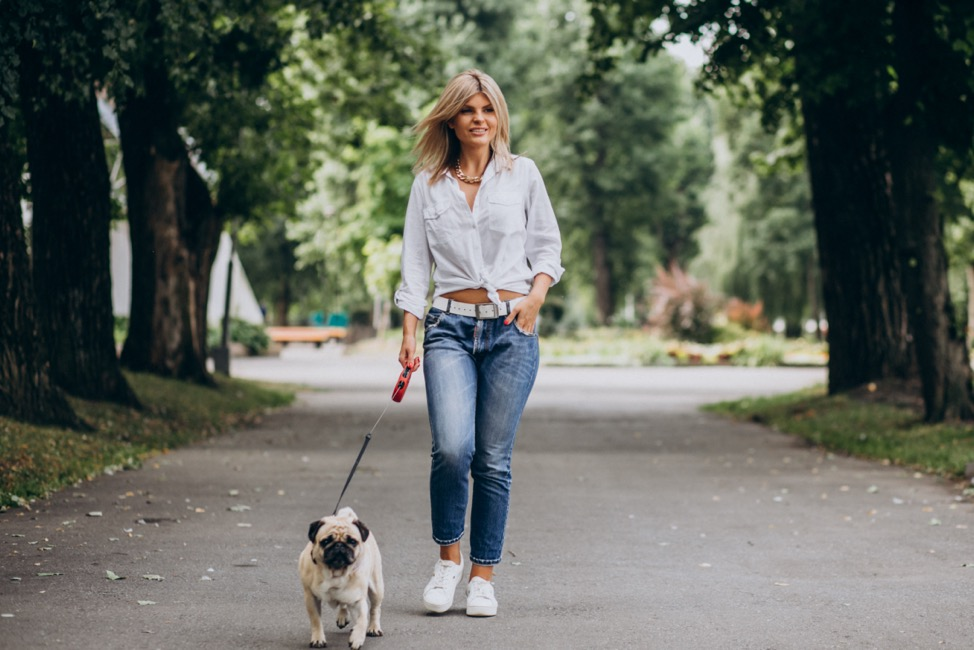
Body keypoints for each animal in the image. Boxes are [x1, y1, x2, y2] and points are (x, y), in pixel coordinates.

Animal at [300, 506, 384, 648]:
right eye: (326, 541)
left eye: (352, 541)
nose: (339, 545)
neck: (335, 572)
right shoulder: (311, 597)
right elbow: (316, 620)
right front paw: (318, 639)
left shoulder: (357, 599)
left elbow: (362, 619)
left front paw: (357, 638)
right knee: (344, 604)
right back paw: (343, 617)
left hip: (377, 588)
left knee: (374, 609)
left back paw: (373, 628)